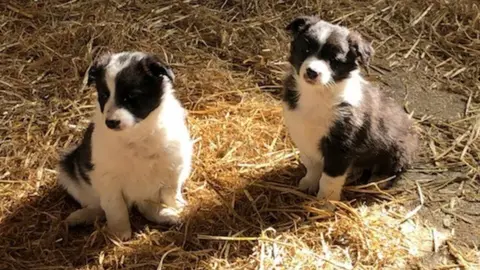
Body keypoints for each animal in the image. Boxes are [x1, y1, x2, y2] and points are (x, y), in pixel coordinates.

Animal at [59, 51, 193, 239]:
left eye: (131, 97)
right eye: (104, 95)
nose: (111, 122)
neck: (136, 135)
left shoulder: (174, 164)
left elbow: (170, 192)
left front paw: (176, 207)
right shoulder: (107, 178)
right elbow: (116, 207)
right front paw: (119, 233)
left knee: (144, 204)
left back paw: (166, 214)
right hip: (68, 170)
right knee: (99, 207)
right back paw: (80, 217)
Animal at [284, 16, 418, 201]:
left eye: (334, 60)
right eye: (306, 50)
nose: (312, 72)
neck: (318, 94)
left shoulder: (341, 145)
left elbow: (329, 179)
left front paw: (324, 203)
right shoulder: (302, 133)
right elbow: (312, 165)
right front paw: (309, 183)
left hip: (399, 150)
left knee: (391, 172)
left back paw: (377, 182)